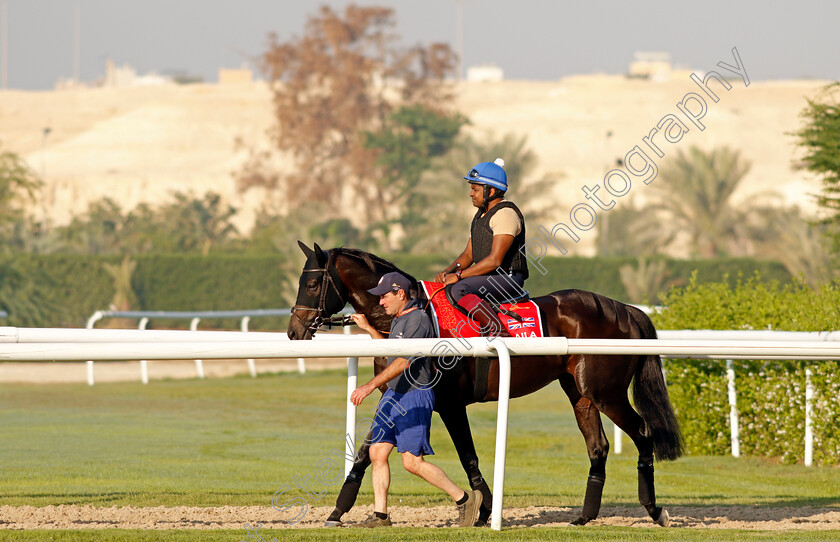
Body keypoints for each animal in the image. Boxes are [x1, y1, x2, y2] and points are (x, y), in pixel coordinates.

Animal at [288, 243, 684, 532]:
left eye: (312, 284)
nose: (294, 330)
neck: (405, 317)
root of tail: (625, 309)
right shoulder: (394, 395)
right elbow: (366, 451)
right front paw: (338, 510)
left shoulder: (449, 404)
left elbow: (468, 457)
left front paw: (482, 510)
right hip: (581, 393)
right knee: (598, 447)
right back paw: (585, 516)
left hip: (607, 392)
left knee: (643, 434)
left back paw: (655, 510)